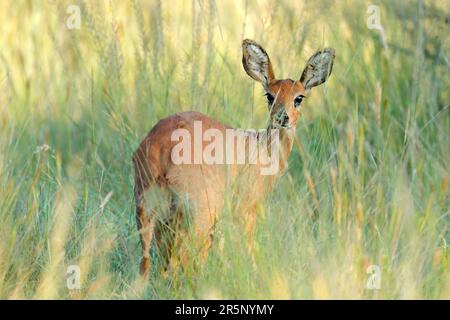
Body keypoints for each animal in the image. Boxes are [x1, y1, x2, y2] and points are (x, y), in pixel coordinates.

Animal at [132, 38, 332, 276]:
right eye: (269, 95)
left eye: (299, 98)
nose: (282, 117)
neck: (262, 150)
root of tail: (163, 146)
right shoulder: (246, 210)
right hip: (199, 213)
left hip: (147, 208)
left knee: (148, 264)